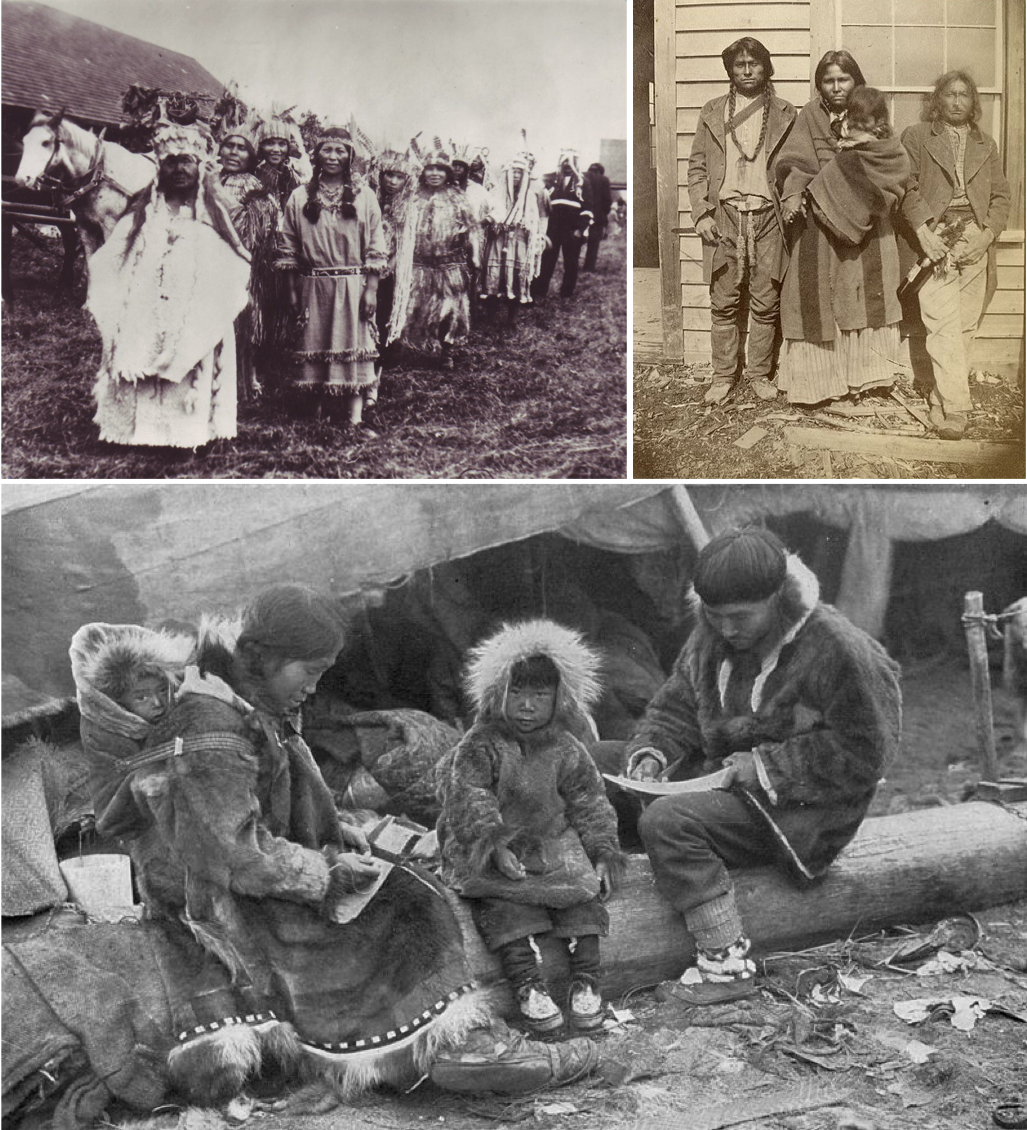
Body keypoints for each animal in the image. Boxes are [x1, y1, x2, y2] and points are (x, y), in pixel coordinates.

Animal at [14, 109, 154, 258]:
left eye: (45, 142)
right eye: (24, 141)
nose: (22, 178)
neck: (96, 175)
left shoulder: (110, 227)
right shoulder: (85, 228)